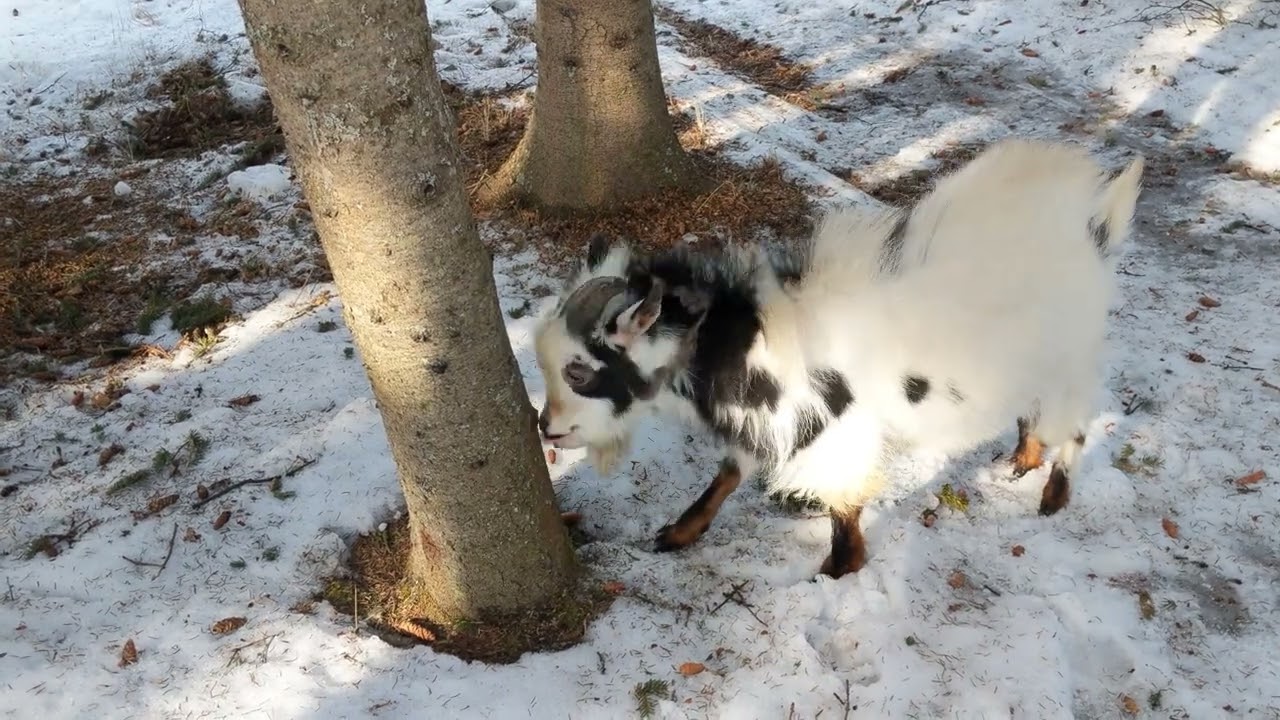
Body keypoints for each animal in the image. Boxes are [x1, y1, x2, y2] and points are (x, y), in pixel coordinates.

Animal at [533, 138, 1145, 578]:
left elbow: (843, 506)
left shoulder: (834, 431)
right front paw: (678, 534)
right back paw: (1021, 459)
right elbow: (729, 472)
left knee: (1077, 420)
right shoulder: (775, 420)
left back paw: (1053, 495)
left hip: (1071, 355)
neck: (747, 336)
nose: (547, 428)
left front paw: (836, 571)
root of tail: (1096, 225)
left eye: (579, 369)